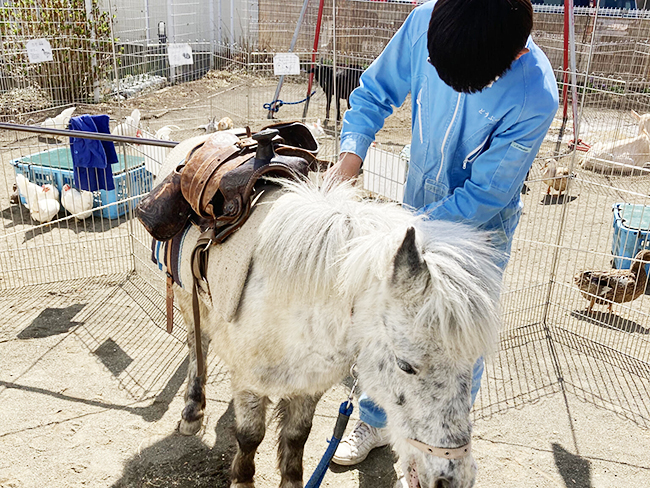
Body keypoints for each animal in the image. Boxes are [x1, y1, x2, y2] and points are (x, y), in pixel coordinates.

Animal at [163, 142, 502, 488]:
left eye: (472, 365)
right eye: (405, 366)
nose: (453, 479)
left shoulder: (310, 383)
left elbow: (297, 435)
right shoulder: (251, 382)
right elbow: (250, 435)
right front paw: (242, 479)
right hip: (187, 300)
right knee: (197, 345)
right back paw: (192, 412)